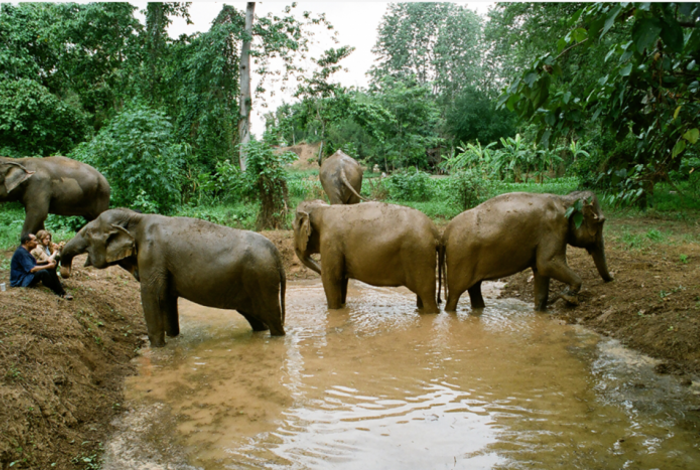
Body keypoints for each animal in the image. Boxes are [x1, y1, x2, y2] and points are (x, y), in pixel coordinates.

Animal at [61, 208, 286, 346]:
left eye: (87, 234)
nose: (64, 271)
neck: (134, 218)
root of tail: (276, 252)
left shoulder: (152, 256)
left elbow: (151, 297)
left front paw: (157, 348)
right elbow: (167, 299)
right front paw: (173, 338)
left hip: (262, 279)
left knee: (273, 319)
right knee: (256, 318)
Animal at [292, 199, 440, 312]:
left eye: (293, 227)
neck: (323, 209)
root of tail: (434, 229)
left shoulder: (331, 242)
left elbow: (331, 278)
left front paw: (334, 310)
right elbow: (341, 280)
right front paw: (342, 306)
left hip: (420, 255)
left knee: (427, 295)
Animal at [442, 191, 612, 312]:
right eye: (600, 222)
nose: (611, 279)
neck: (564, 200)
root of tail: (446, 232)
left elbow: (541, 271)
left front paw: (540, 311)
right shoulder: (554, 228)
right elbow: (547, 263)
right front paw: (570, 299)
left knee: (474, 288)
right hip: (460, 257)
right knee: (455, 294)